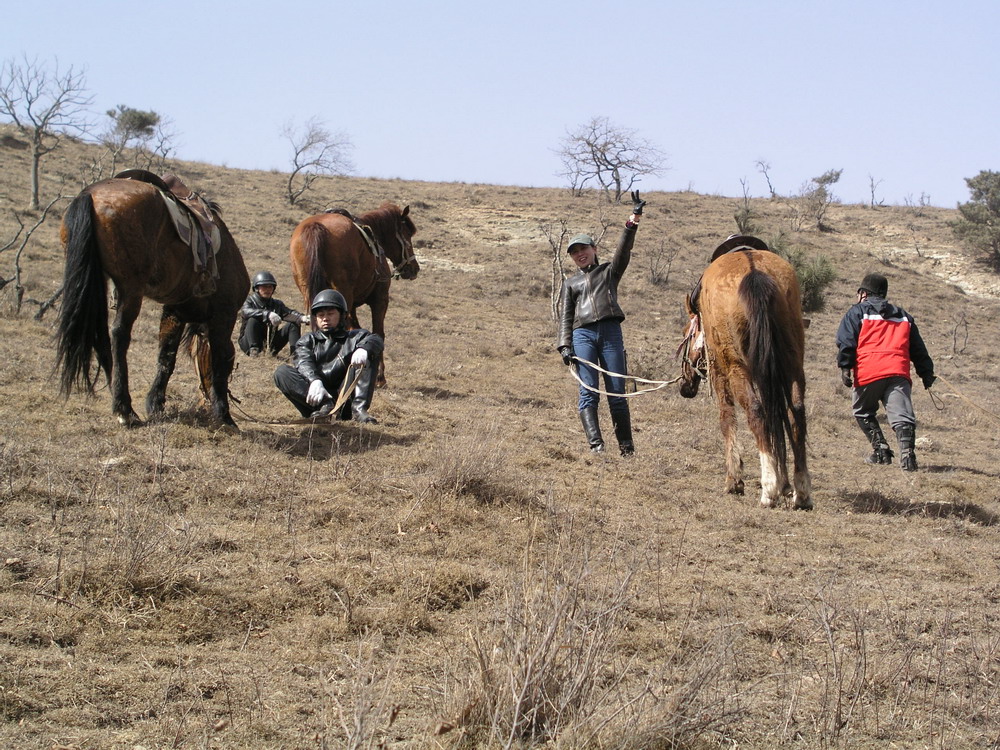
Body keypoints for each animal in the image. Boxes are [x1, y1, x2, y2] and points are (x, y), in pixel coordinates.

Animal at [55, 171, 250, 428]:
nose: (205, 399)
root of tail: (89, 193)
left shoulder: (175, 311)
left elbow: (166, 357)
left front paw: (155, 403)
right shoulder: (223, 316)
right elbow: (219, 359)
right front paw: (225, 416)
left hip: (96, 280)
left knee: (101, 337)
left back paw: (119, 400)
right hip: (131, 288)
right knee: (119, 335)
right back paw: (124, 409)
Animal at [290, 203, 418, 384]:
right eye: (407, 236)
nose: (414, 269)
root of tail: (316, 227)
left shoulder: (350, 306)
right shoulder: (380, 300)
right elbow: (378, 333)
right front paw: (380, 376)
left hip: (311, 291)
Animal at [680, 236, 812, 512]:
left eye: (687, 333)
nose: (685, 386)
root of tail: (754, 273)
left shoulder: (720, 371)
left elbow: (726, 418)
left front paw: (734, 480)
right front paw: (786, 485)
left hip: (736, 367)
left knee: (756, 411)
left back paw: (769, 489)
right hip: (792, 362)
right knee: (795, 412)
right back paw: (801, 492)